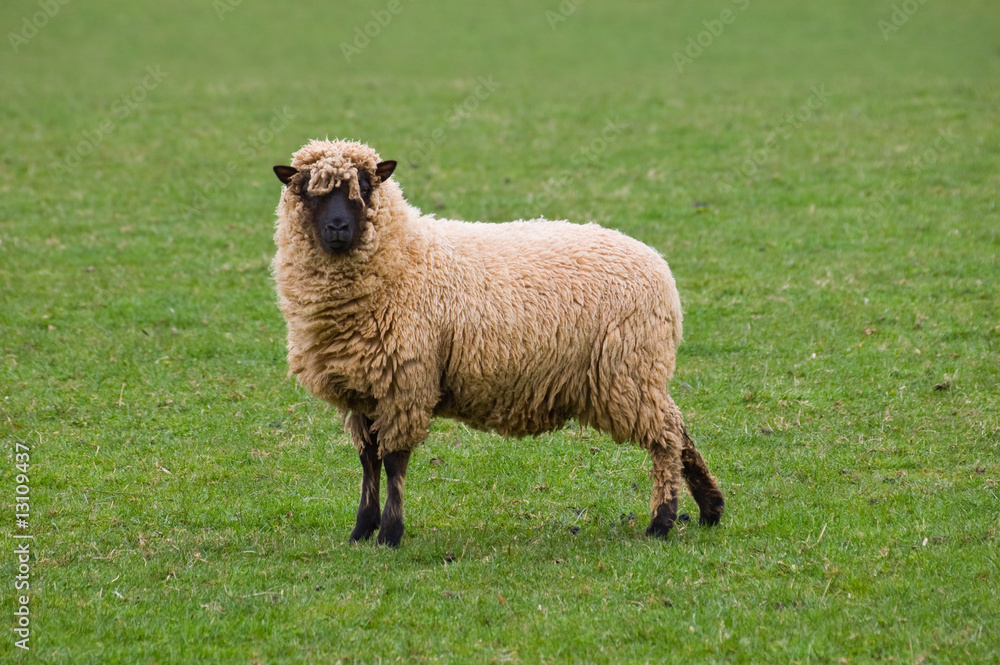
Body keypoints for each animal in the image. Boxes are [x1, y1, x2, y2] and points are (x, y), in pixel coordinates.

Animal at [271, 139, 724, 547]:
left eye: (364, 187)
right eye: (306, 189)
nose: (338, 228)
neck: (406, 255)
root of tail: (659, 266)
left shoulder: (407, 380)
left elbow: (395, 461)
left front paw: (389, 535)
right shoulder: (364, 387)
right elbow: (369, 461)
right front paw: (361, 531)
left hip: (627, 370)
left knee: (666, 437)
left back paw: (662, 521)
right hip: (639, 373)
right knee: (679, 428)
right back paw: (710, 508)